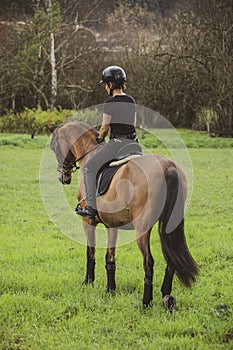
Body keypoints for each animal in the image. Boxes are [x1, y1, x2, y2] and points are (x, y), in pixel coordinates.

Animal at [48, 121, 199, 310]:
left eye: (54, 146)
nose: (63, 177)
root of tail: (168, 166)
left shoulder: (88, 221)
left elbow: (90, 252)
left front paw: (88, 282)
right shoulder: (112, 225)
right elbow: (110, 258)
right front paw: (110, 289)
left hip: (142, 228)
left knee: (148, 262)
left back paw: (146, 302)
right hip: (169, 225)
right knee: (171, 258)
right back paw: (166, 296)